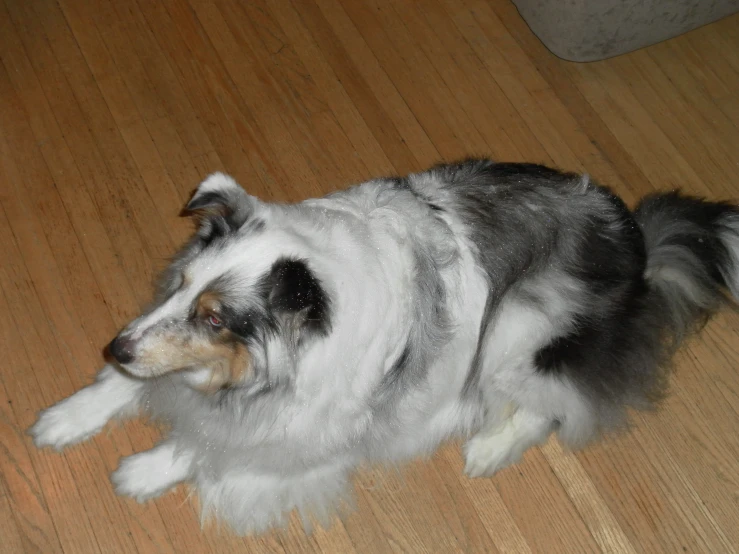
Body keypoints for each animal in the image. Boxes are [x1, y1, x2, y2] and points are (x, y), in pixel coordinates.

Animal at [30, 158, 739, 532]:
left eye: (216, 319)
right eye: (179, 288)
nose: (114, 346)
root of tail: (636, 244)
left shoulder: (306, 423)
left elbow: (215, 444)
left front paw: (143, 471)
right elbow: (132, 385)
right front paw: (64, 419)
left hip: (520, 324)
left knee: (556, 406)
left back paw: (486, 448)